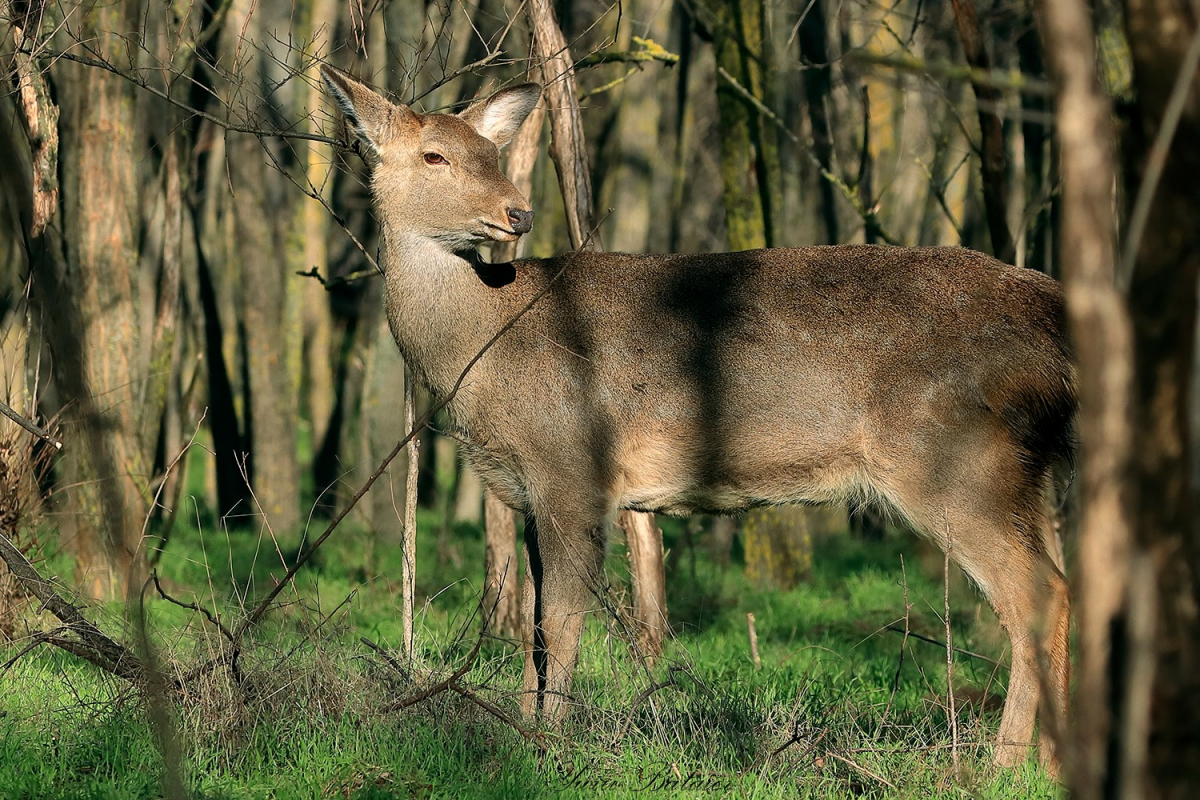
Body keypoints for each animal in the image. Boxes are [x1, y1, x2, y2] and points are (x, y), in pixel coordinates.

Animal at [321, 67, 1080, 767]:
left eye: (490, 151)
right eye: (435, 156)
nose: (517, 213)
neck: (485, 348)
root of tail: (1051, 311)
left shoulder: (573, 466)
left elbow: (561, 622)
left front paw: (548, 743)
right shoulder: (530, 491)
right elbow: (534, 630)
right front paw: (524, 727)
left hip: (955, 458)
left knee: (1038, 594)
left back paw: (1001, 762)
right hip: (1019, 469)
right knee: (1063, 583)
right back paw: (1050, 760)